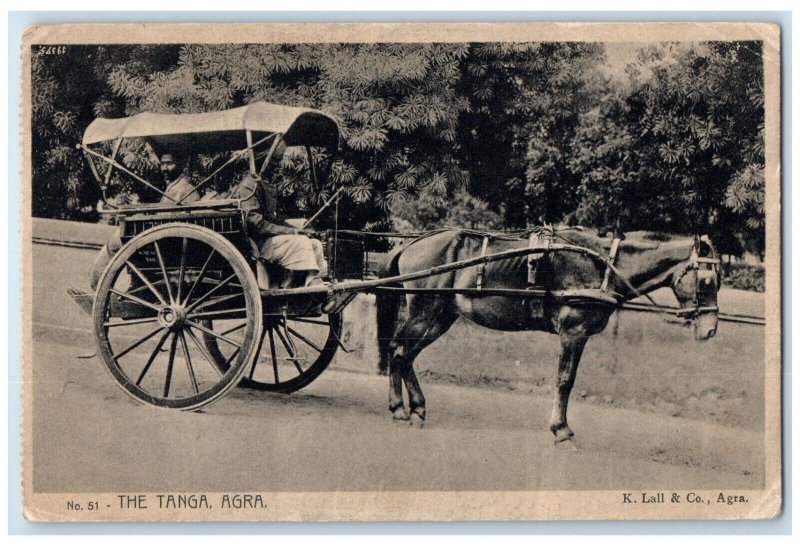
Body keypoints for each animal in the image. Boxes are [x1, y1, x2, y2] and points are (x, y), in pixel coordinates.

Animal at [374, 227, 720, 440]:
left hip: (441, 316)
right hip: (426, 311)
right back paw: (402, 409)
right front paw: (561, 430)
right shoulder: (573, 332)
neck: (602, 266)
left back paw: (414, 408)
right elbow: (565, 380)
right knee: (400, 351)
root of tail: (411, 243)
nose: (710, 329)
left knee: (403, 353)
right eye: (707, 281)